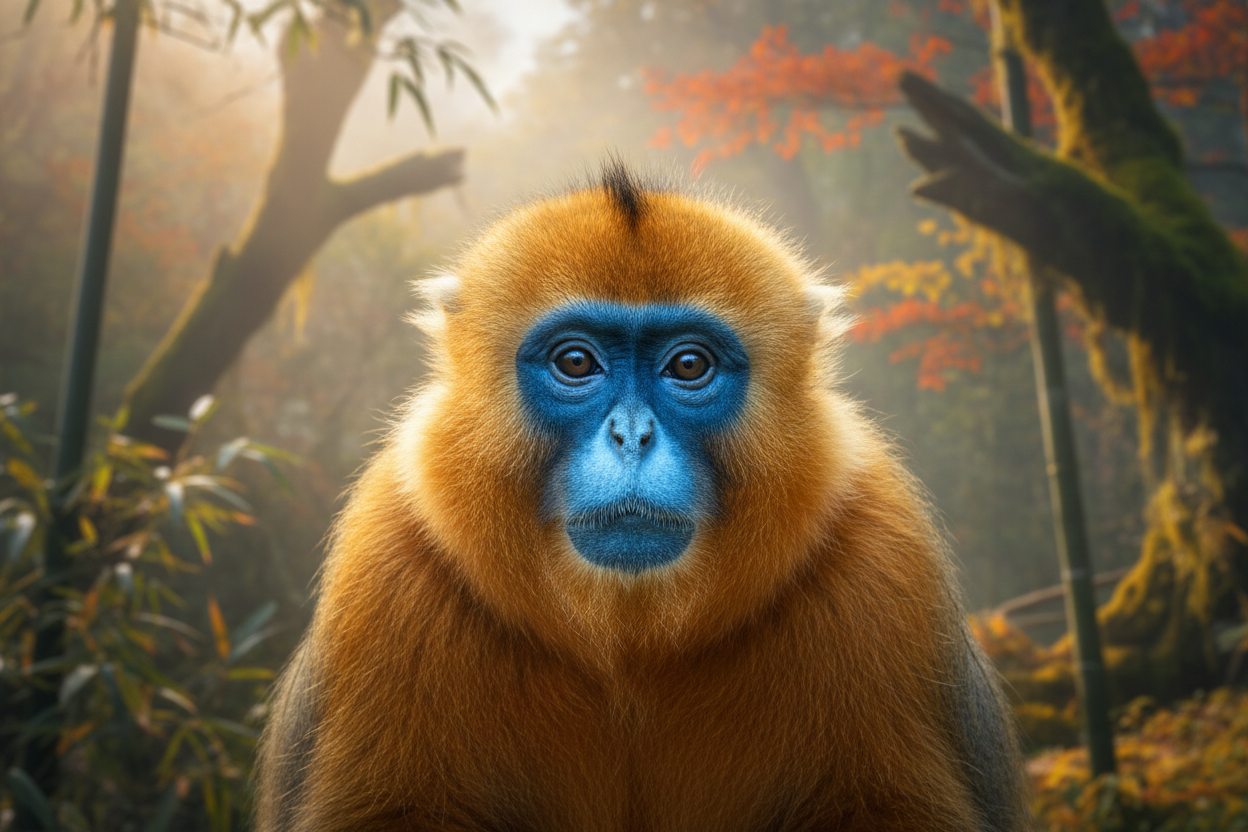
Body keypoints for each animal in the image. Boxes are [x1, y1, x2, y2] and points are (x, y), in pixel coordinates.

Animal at [254, 163, 1032, 832]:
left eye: (688, 365)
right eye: (576, 362)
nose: (632, 435)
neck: (632, 652)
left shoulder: (882, 558)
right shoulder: (388, 565)